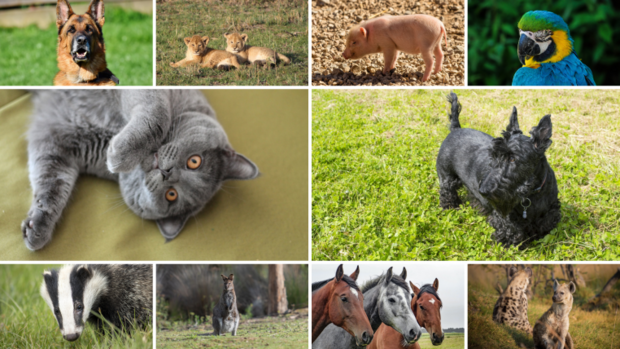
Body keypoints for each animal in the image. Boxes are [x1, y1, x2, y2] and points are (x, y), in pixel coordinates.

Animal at [21, 88, 260, 249]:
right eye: (195, 161)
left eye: (171, 195)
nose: (167, 173)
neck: (115, 128)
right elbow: (158, 114)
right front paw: (120, 153)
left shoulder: (56, 138)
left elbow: (53, 182)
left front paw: (37, 228)